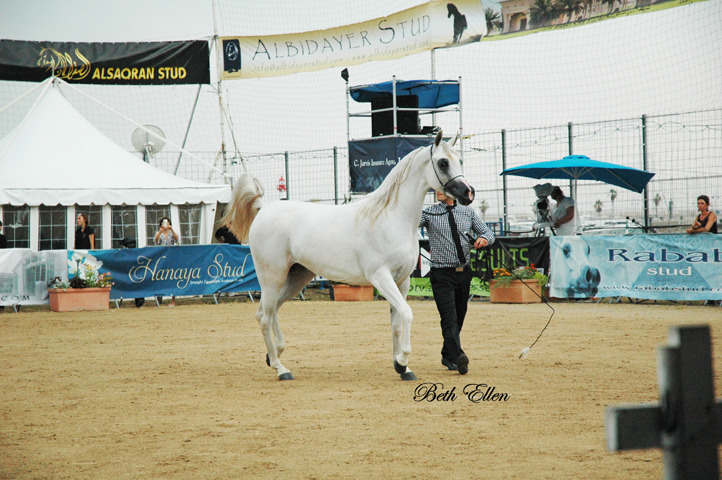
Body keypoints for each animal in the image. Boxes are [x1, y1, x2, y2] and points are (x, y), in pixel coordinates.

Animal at [222, 130, 475, 381]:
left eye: (460, 160)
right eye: (443, 163)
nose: (468, 193)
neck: (390, 217)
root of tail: (264, 208)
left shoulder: (402, 281)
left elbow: (396, 323)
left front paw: (403, 368)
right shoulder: (380, 277)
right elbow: (407, 313)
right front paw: (403, 360)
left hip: (296, 277)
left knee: (271, 310)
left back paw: (274, 355)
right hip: (272, 277)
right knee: (264, 316)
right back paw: (281, 369)